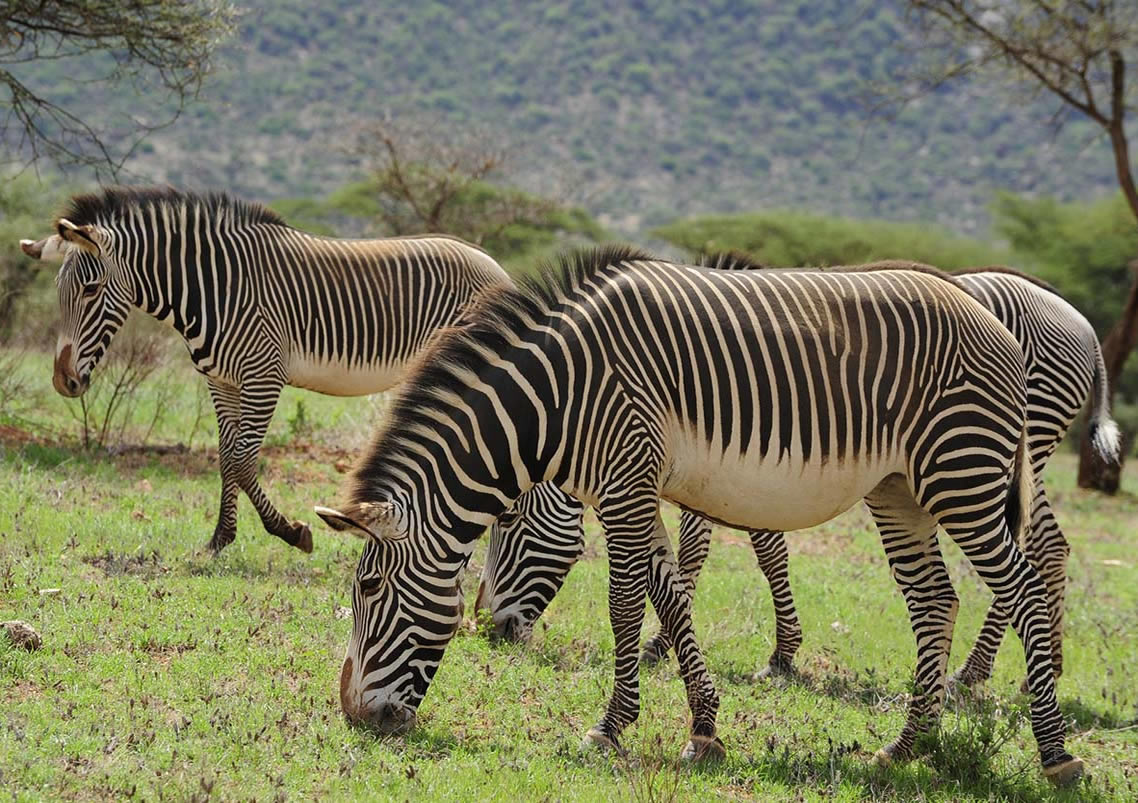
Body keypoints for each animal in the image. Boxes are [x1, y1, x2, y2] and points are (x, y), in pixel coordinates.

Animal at [20, 185, 509, 552]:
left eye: (91, 289)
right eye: (59, 289)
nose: (63, 382)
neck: (211, 288)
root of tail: (495, 267)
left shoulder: (263, 376)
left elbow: (243, 461)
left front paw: (290, 532)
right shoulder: (221, 381)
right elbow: (224, 457)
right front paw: (220, 538)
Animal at [477, 259, 1119, 686]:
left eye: (507, 527)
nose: (490, 630)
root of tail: (1086, 326)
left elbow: (740, 549)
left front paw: (766, 651)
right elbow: (727, 549)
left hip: (996, 452)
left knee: (1031, 549)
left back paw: (980, 671)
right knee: (1050, 544)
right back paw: (1038, 664)